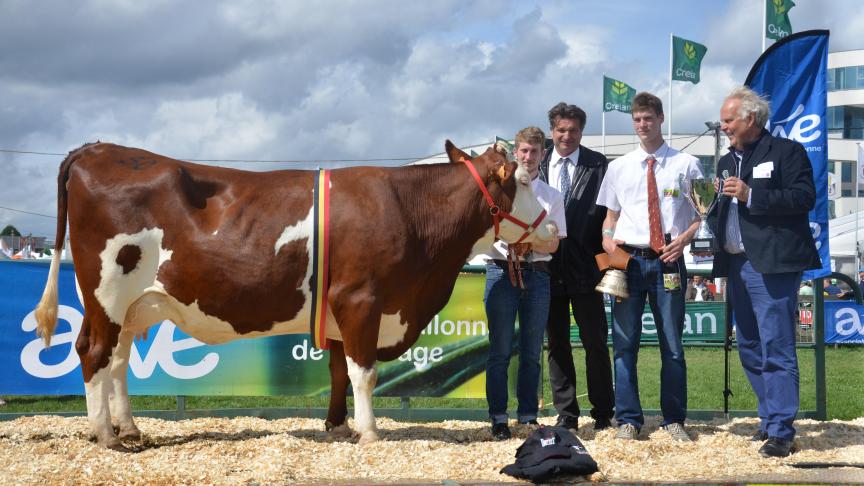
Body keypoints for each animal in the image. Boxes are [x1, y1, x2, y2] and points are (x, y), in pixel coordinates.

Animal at [33, 140, 556, 452]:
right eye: (523, 181)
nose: (554, 228)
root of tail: (98, 148)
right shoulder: (361, 300)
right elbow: (363, 372)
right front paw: (370, 432)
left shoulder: (340, 310)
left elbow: (338, 370)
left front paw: (338, 426)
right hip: (106, 292)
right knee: (93, 353)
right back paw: (105, 435)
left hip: (132, 305)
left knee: (117, 360)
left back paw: (130, 428)